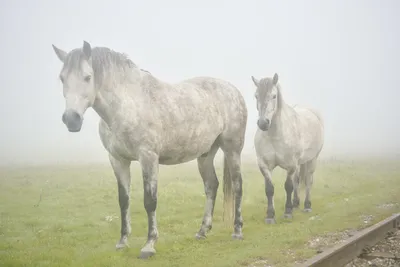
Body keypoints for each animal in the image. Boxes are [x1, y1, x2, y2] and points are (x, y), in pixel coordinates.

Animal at [52, 41, 248, 260]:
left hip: (232, 149)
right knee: (211, 186)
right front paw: (122, 242)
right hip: (205, 154)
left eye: (87, 77)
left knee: (238, 185)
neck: (127, 105)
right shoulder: (118, 160)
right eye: (62, 78)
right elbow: (124, 200)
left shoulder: (148, 158)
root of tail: (232, 90)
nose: (71, 119)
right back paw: (202, 231)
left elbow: (150, 201)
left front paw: (149, 245)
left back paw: (237, 231)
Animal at [252, 73, 324, 224]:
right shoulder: (264, 165)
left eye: (274, 96)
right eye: (256, 96)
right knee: (297, 180)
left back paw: (307, 206)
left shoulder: (291, 165)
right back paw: (296, 203)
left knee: (308, 181)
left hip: (312, 159)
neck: (274, 135)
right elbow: (269, 189)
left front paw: (287, 212)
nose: (263, 123)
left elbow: (288, 186)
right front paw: (270, 215)